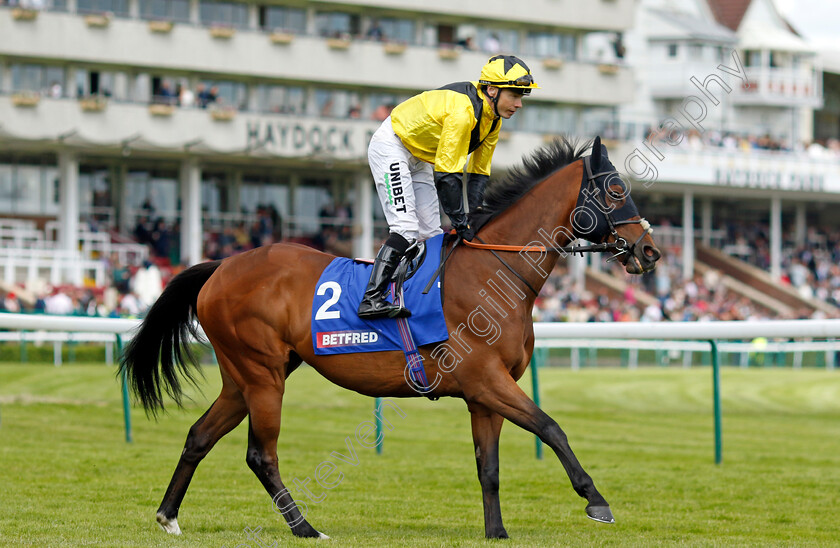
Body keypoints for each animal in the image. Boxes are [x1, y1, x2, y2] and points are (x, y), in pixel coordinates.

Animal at [120, 136, 664, 540]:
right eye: (616, 189)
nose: (650, 251)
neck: (494, 271)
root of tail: (221, 265)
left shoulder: (484, 394)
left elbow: (488, 466)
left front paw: (496, 532)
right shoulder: (486, 380)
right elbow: (552, 428)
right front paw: (596, 501)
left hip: (244, 376)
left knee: (199, 436)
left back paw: (168, 516)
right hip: (262, 374)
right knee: (261, 454)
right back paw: (306, 528)